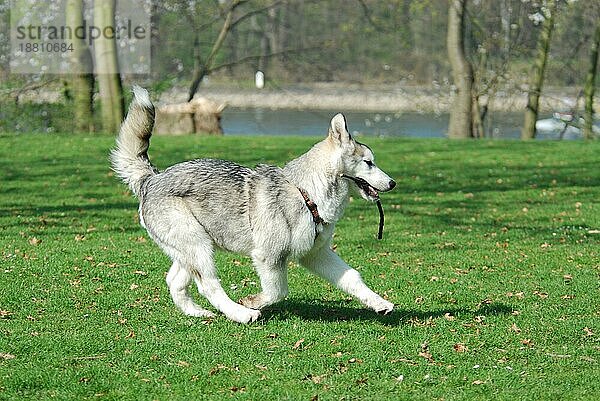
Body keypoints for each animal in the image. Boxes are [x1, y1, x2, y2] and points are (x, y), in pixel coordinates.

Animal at [110, 86, 396, 322]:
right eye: (369, 163)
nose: (393, 183)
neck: (306, 193)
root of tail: (151, 178)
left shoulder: (316, 254)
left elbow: (352, 277)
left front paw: (379, 303)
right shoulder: (269, 257)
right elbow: (277, 291)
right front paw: (252, 302)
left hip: (189, 249)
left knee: (176, 281)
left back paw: (198, 313)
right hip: (198, 246)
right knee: (209, 285)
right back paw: (240, 314)